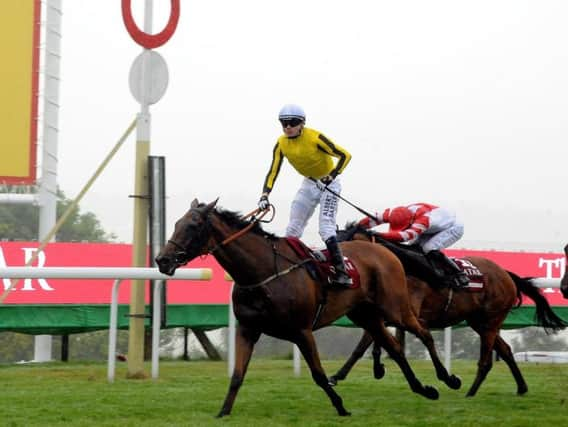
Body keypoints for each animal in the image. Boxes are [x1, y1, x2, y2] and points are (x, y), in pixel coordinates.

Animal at [155, 201, 458, 418]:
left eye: (193, 225)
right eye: (176, 223)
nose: (162, 260)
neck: (263, 273)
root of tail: (384, 251)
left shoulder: (301, 330)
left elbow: (319, 375)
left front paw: (341, 407)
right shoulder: (247, 330)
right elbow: (237, 376)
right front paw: (223, 412)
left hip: (395, 307)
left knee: (423, 333)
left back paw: (448, 378)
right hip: (366, 315)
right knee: (395, 348)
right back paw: (424, 389)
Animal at [330, 224, 564, 398]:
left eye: (347, 244)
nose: (339, 273)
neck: (402, 267)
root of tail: (506, 274)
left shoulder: (406, 313)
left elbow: (371, 341)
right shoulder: (387, 314)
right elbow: (366, 344)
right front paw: (343, 375)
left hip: (490, 320)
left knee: (487, 359)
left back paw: (471, 393)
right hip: (480, 322)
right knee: (505, 350)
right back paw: (521, 387)